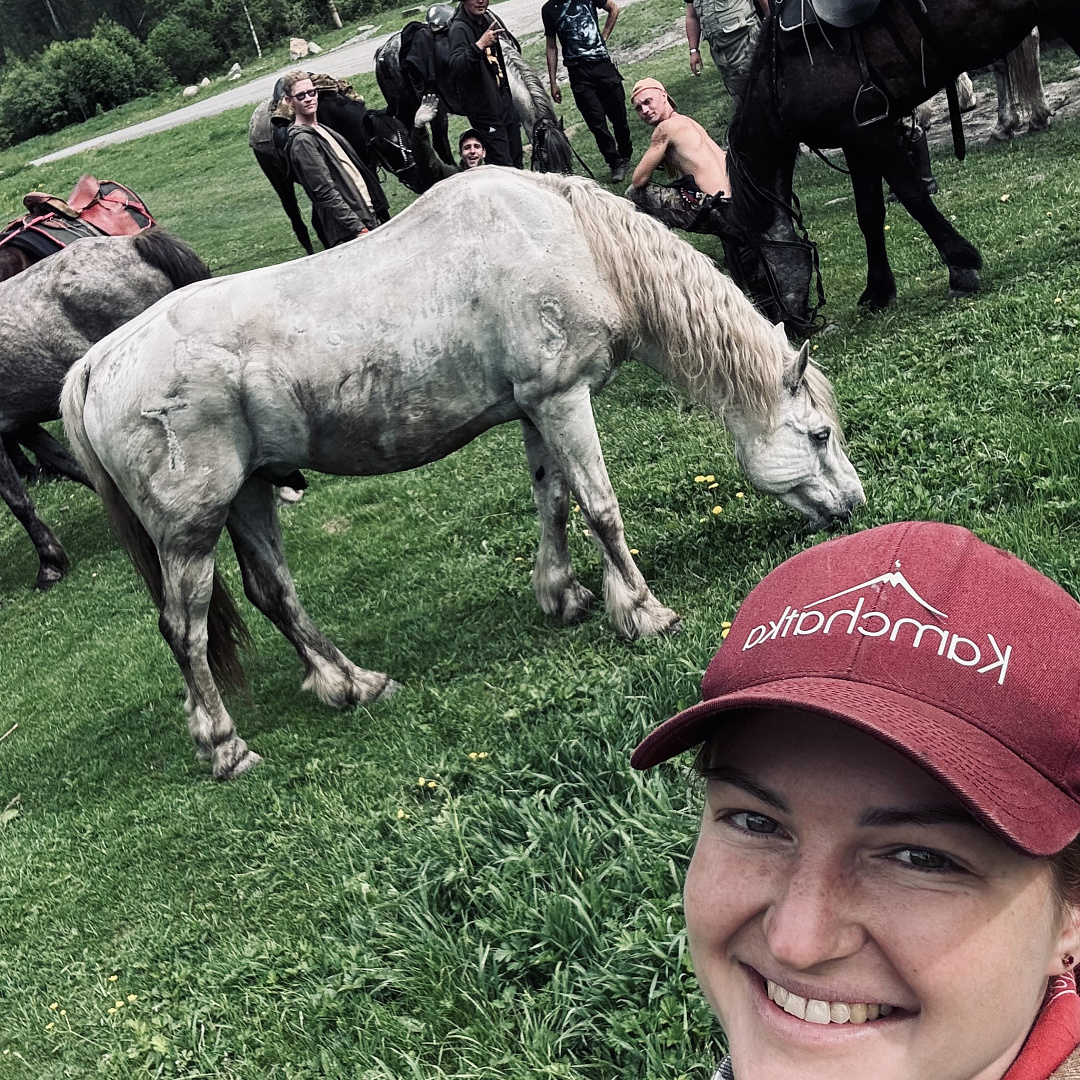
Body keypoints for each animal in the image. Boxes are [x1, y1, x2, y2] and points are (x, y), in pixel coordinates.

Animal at [61, 168, 864, 780]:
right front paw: (642, 611)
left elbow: (553, 502)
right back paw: (225, 747)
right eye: (819, 433)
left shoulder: (537, 409)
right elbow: (600, 507)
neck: (570, 241)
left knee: (275, 592)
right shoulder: (563, 399)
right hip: (191, 529)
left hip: (251, 496)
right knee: (184, 628)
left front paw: (563, 596)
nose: (853, 505)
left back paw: (352, 684)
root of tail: (97, 363)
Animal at [725, 0, 1079, 330]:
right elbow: (869, 214)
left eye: (752, 271)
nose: (783, 325)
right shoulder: (854, 137)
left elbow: (913, 196)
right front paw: (878, 290)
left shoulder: (873, 129)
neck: (780, 72)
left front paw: (961, 268)